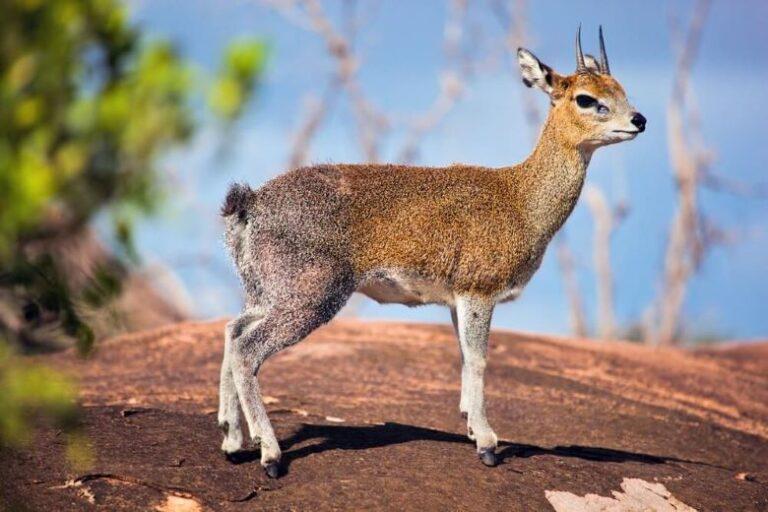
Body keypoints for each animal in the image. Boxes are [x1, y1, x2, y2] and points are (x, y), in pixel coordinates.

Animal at [218, 27, 645, 478]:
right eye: (585, 97)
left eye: (621, 88)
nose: (639, 120)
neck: (521, 201)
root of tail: (250, 202)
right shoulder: (479, 291)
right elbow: (479, 359)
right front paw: (488, 443)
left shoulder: (457, 300)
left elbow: (463, 357)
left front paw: (472, 428)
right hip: (310, 297)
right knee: (247, 350)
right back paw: (269, 454)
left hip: (267, 293)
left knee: (231, 330)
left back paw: (232, 440)